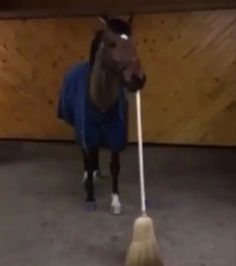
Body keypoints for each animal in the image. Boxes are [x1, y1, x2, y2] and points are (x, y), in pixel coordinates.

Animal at [57, 15, 146, 214]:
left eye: (135, 43)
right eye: (112, 44)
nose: (137, 79)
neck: (101, 101)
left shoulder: (116, 137)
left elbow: (115, 167)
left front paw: (115, 202)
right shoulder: (87, 133)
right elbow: (88, 161)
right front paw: (90, 198)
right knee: (86, 156)